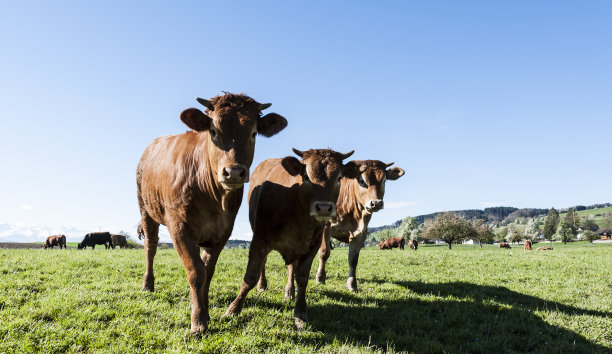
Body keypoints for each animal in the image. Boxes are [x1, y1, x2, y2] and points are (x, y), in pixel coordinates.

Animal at [136, 92, 286, 336]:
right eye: (213, 131)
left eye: (254, 133)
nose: (233, 172)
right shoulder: (178, 226)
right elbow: (196, 271)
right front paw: (197, 322)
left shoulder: (222, 231)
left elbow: (208, 271)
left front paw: (202, 310)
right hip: (146, 208)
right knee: (151, 246)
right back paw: (147, 284)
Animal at [224, 147, 356, 330]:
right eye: (306, 176)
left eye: (339, 178)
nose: (323, 208)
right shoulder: (259, 240)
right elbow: (250, 276)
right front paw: (233, 309)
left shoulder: (312, 247)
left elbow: (302, 278)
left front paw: (300, 314)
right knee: (264, 264)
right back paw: (262, 285)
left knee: (292, 267)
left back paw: (289, 291)